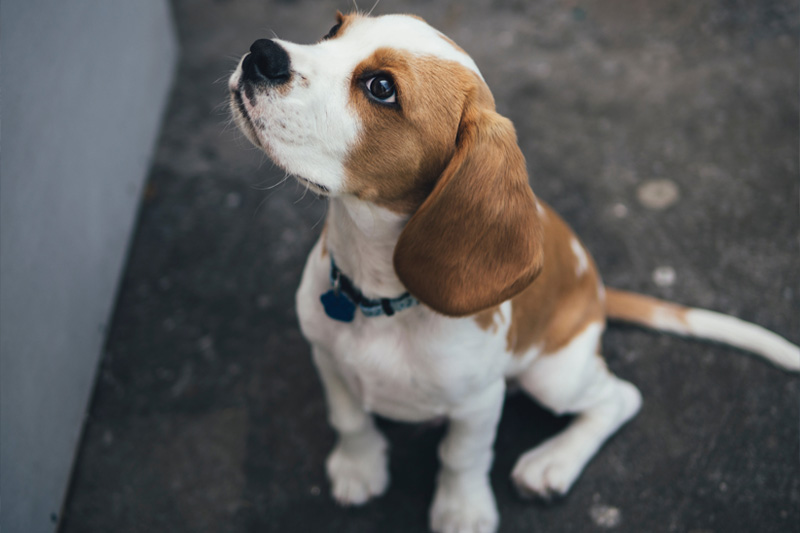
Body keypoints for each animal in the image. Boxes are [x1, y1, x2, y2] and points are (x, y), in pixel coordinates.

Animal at [227, 12, 800, 532]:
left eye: (381, 88)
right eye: (333, 29)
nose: (261, 53)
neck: (378, 295)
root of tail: (597, 290)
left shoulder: (479, 402)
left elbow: (462, 458)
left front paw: (462, 511)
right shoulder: (327, 355)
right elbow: (349, 419)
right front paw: (358, 467)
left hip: (554, 375)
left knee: (620, 397)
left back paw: (553, 462)